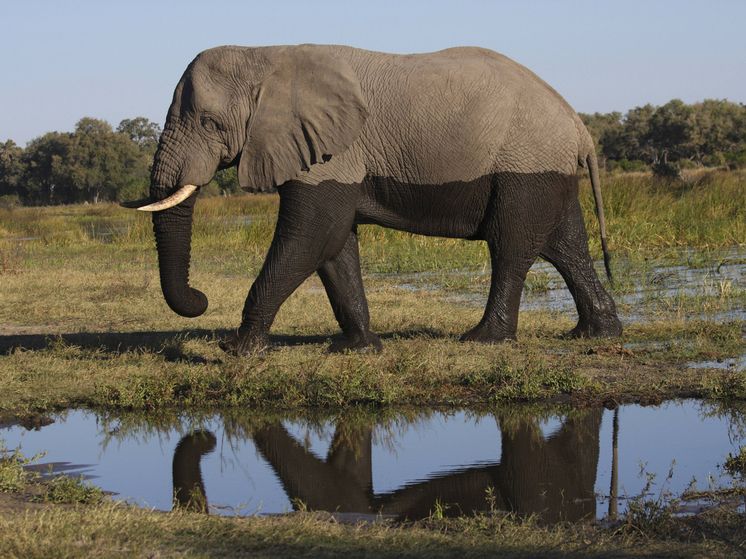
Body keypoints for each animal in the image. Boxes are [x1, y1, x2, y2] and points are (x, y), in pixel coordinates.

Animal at [123, 43, 620, 354]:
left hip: (525, 168)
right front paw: (357, 349)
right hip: (546, 170)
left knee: (511, 248)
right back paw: (594, 335)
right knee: (567, 245)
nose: (201, 299)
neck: (266, 55)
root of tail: (580, 127)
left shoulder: (333, 151)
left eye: (209, 123)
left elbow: (310, 237)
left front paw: (236, 350)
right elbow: (334, 246)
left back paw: (483, 341)